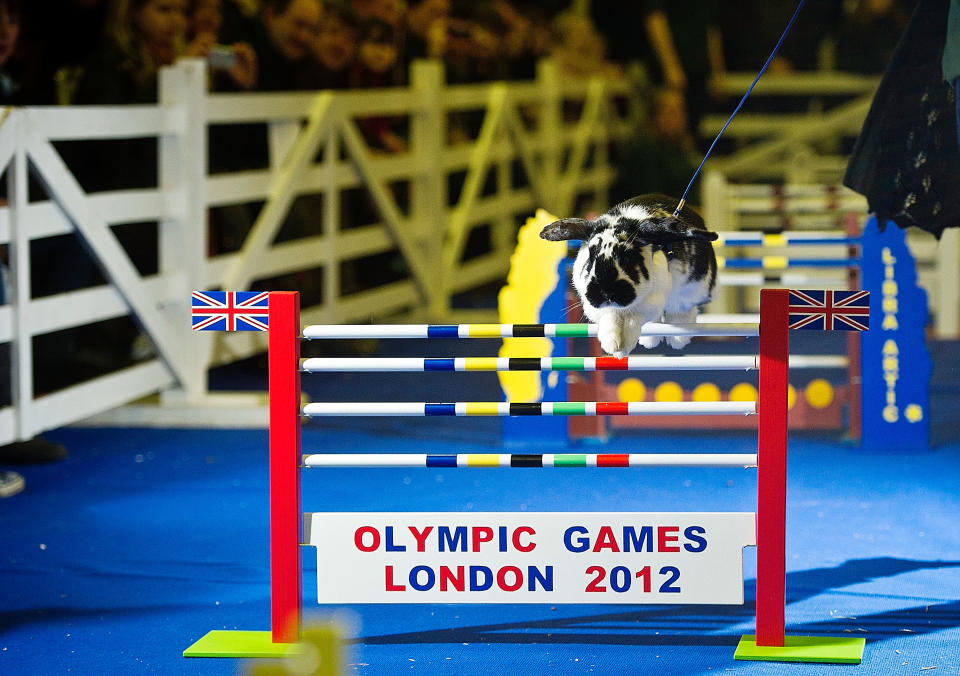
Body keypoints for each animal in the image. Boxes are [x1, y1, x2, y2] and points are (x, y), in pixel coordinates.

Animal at [536, 193, 716, 356]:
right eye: (591, 257)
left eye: (628, 257)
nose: (606, 292)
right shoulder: (596, 306)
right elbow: (610, 316)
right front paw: (613, 345)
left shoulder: (651, 300)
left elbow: (632, 317)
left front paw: (625, 345)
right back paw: (652, 340)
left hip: (694, 289)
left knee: (681, 307)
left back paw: (677, 340)